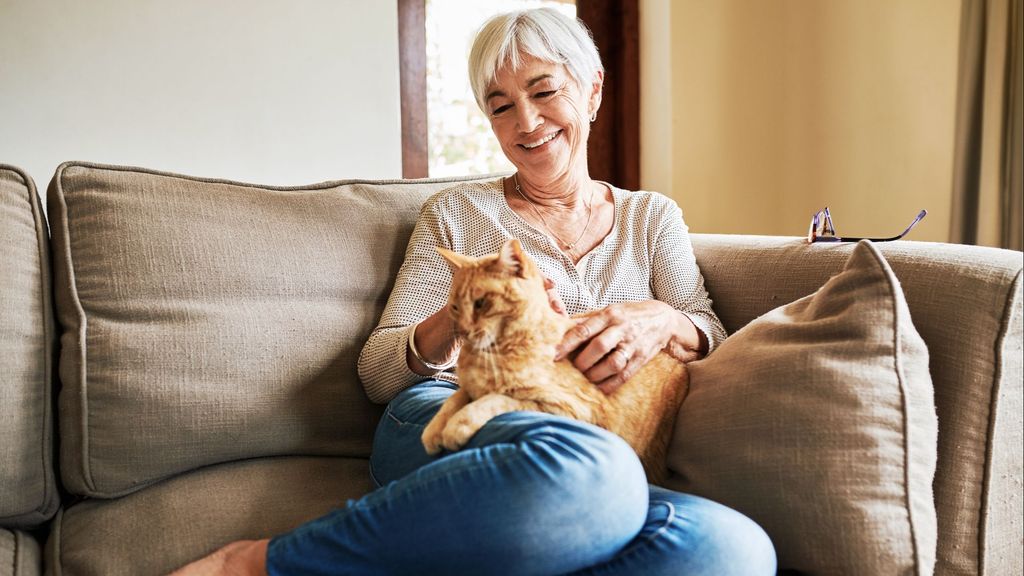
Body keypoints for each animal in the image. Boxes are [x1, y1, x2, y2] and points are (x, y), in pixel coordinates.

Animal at [415, 235, 688, 481]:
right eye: (454, 307)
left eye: (481, 303)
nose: (462, 331)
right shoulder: (469, 388)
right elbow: (453, 400)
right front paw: (434, 430)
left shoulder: (571, 408)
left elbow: (495, 400)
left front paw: (456, 426)